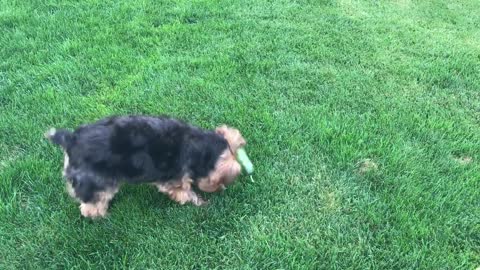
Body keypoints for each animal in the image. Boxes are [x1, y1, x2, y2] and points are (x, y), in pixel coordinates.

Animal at [45, 115, 248, 218]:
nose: (222, 189)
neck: (198, 146)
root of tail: (70, 140)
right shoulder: (174, 179)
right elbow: (184, 192)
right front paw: (200, 202)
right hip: (96, 181)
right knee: (90, 204)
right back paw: (99, 214)